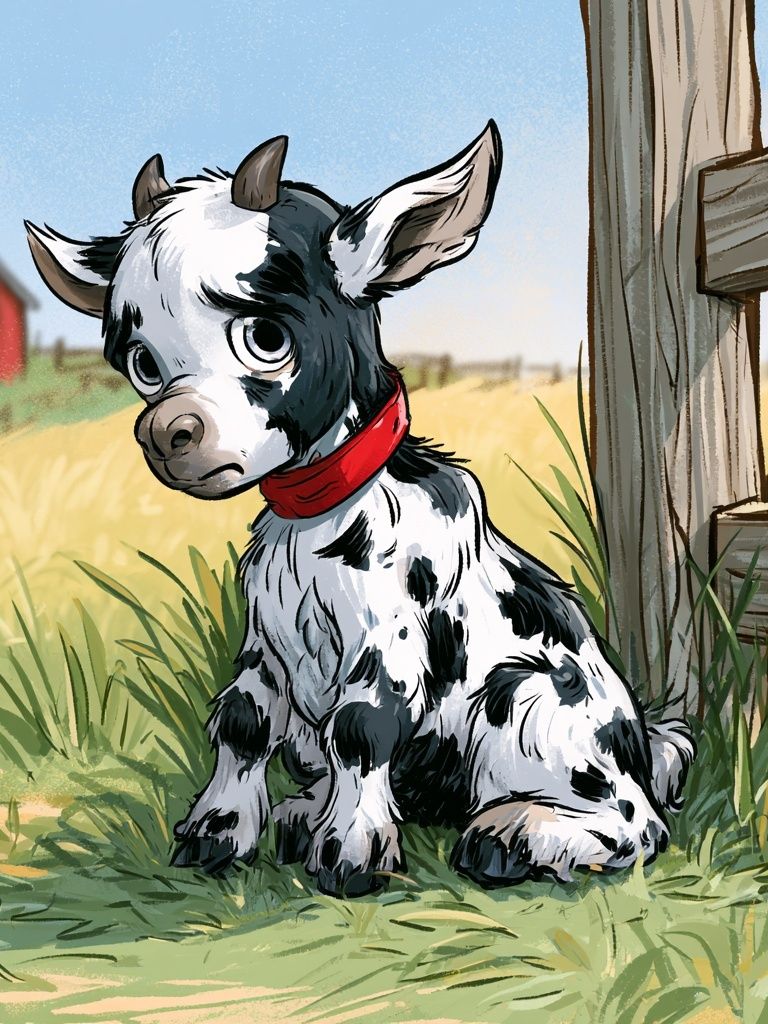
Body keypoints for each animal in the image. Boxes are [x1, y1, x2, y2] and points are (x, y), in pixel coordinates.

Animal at [26, 123, 694, 896]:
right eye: (142, 362)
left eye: (266, 336)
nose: (168, 432)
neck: (315, 518)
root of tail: (647, 743)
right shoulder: (265, 647)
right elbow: (243, 721)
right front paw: (215, 834)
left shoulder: (388, 643)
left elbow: (361, 729)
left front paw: (352, 854)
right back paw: (303, 815)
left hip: (530, 699)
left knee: (635, 826)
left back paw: (517, 835)